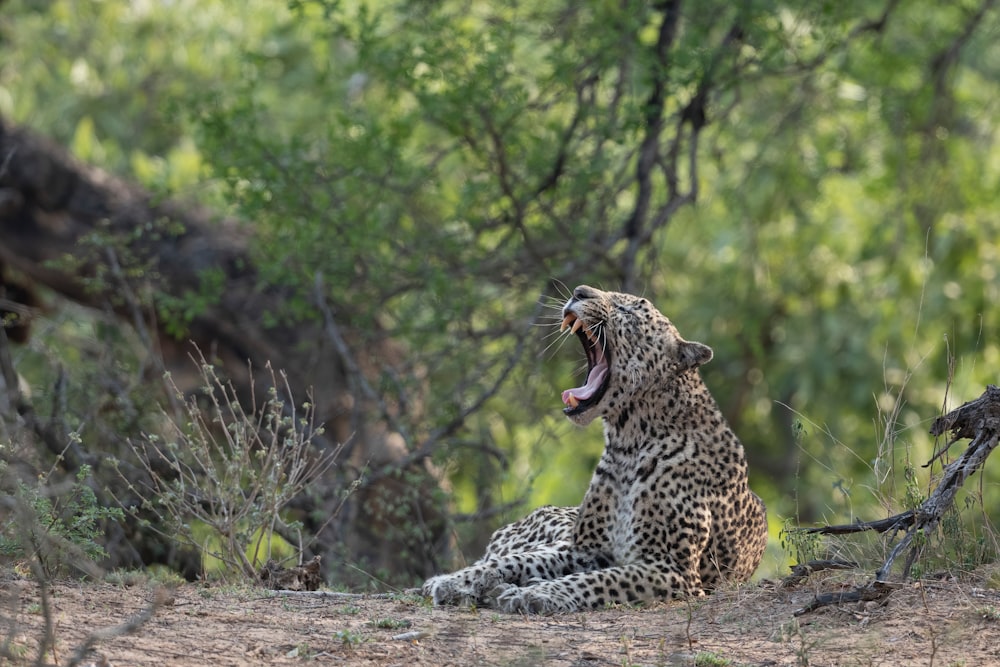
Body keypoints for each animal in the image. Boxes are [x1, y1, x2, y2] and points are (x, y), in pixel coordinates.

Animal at [420, 284, 764, 612]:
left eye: (627, 309)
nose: (579, 292)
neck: (627, 442)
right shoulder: (584, 549)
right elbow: (517, 562)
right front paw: (453, 582)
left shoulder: (671, 568)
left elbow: (601, 580)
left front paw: (537, 593)